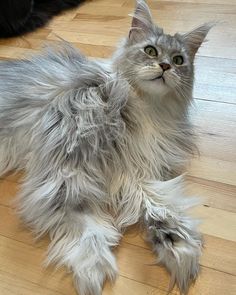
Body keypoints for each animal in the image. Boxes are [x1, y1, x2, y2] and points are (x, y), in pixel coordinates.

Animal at [0, 0, 213, 295]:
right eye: (150, 50)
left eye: (179, 60)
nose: (165, 66)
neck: (144, 106)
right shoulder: (67, 167)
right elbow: (81, 220)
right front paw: (92, 268)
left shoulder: (134, 167)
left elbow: (158, 203)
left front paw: (175, 243)